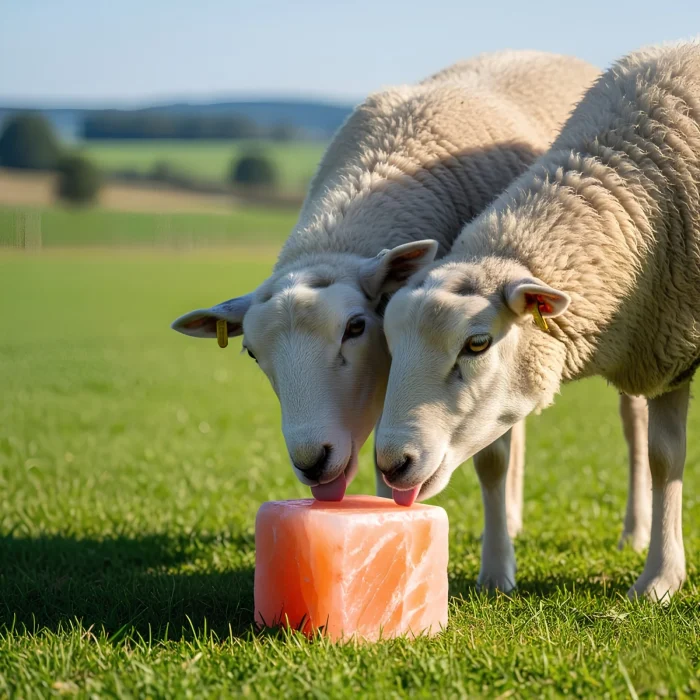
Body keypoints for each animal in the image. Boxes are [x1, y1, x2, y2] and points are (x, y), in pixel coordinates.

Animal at [376, 41, 700, 601]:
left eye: (477, 344)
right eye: (390, 345)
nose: (393, 463)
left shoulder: (671, 344)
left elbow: (665, 459)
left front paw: (657, 579)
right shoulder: (666, 344)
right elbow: (663, 457)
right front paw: (661, 577)